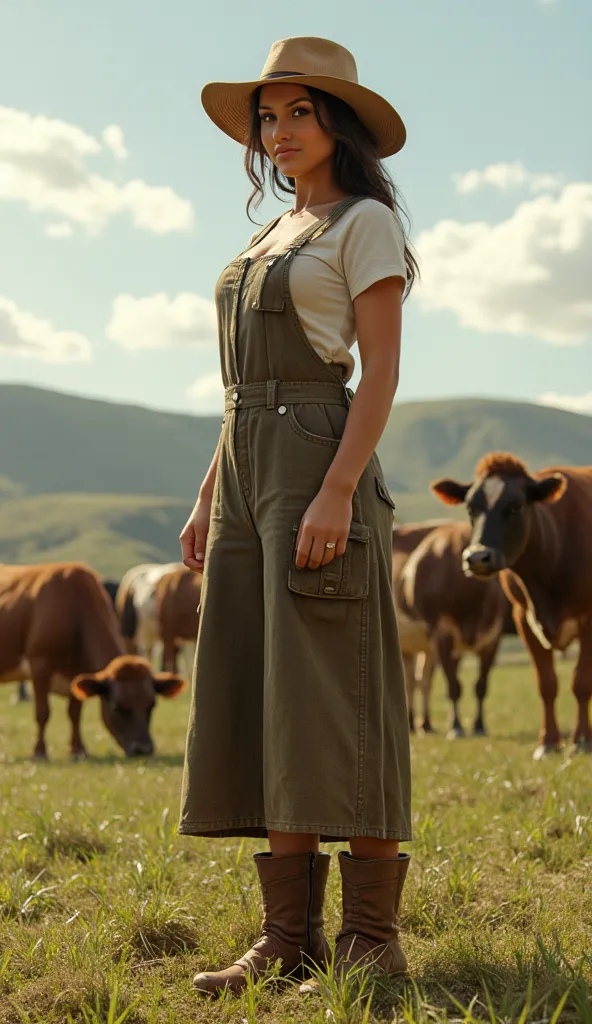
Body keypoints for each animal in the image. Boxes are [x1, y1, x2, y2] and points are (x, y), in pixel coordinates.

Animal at [0, 565, 184, 757]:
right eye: (117, 707)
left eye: (151, 705)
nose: (143, 749)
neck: (73, 609)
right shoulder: (40, 664)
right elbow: (43, 711)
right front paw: (40, 752)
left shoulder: (78, 672)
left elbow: (74, 713)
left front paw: (78, 750)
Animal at [393, 520, 503, 737]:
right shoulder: (443, 634)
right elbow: (454, 686)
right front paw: (456, 726)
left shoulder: (492, 638)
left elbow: (481, 685)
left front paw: (479, 725)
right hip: (407, 644)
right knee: (411, 680)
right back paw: (411, 722)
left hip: (423, 648)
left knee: (421, 679)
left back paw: (425, 724)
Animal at [428, 452, 589, 757]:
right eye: (471, 508)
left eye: (515, 506)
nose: (477, 557)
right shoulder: (524, 617)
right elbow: (546, 683)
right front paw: (548, 742)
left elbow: (580, 683)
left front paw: (582, 740)